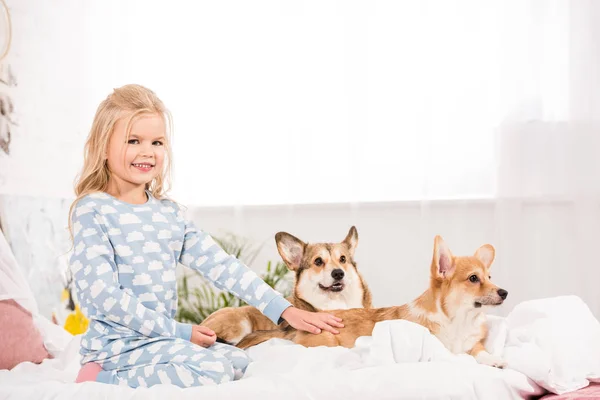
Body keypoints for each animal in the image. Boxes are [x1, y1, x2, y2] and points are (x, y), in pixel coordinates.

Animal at [237, 234, 508, 368]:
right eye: (473, 279)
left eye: (490, 277)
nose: (505, 292)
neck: (459, 320)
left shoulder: (473, 343)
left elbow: (479, 351)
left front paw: (494, 360)